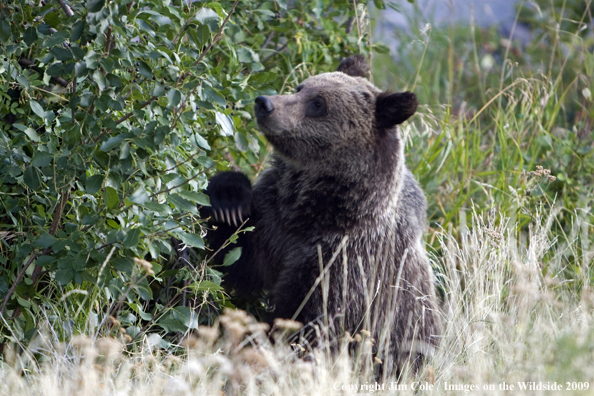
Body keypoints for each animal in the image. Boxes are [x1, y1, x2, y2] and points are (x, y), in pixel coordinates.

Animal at [204, 55, 440, 374]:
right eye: (300, 87)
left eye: (318, 103)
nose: (265, 103)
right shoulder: (274, 220)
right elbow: (235, 253)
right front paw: (228, 199)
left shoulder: (344, 263)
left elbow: (308, 323)